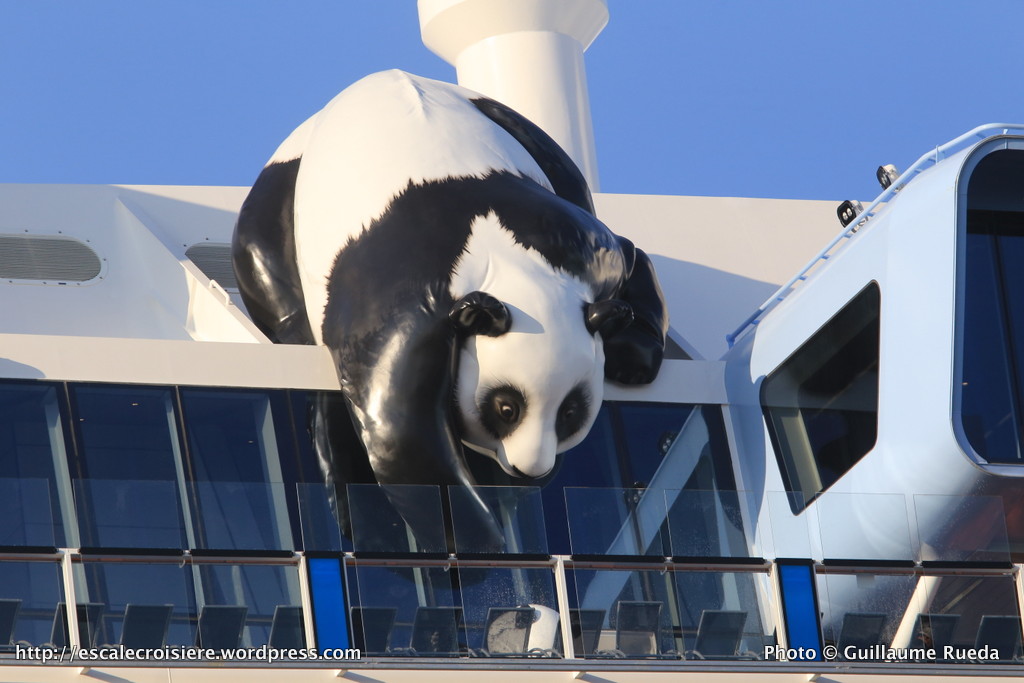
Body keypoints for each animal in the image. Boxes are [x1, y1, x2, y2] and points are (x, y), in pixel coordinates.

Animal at [232, 70, 668, 548]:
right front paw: (482, 546)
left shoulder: (579, 249)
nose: (530, 468)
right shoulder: (402, 313)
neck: (507, 270)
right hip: (281, 192)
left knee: (564, 172)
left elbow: (629, 254)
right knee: (276, 283)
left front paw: (633, 351)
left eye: (570, 412)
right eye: (506, 408)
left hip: (508, 122)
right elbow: (402, 434)